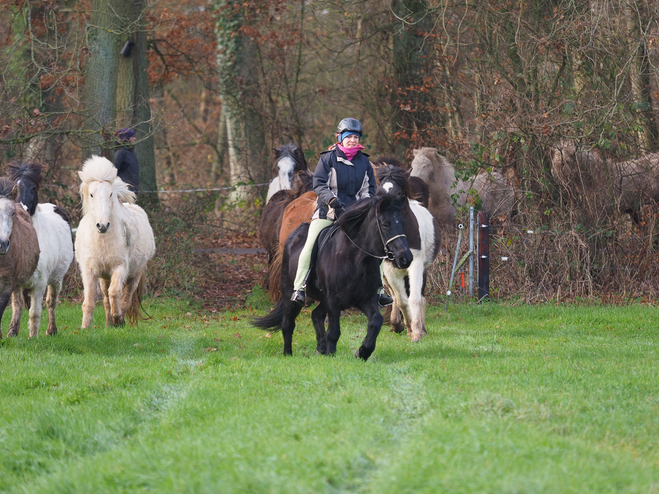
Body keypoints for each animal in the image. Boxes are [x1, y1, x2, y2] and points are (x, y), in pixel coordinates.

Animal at [6, 164, 74, 338]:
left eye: (33, 188)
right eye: (14, 187)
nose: (22, 209)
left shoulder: (40, 284)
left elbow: (34, 312)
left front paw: (33, 337)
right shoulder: (15, 283)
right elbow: (17, 306)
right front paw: (12, 333)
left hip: (57, 280)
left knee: (51, 303)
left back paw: (51, 331)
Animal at [76, 156, 156, 328]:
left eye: (110, 193)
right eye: (91, 194)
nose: (102, 225)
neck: (103, 241)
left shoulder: (120, 267)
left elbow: (115, 293)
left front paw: (118, 318)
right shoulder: (89, 270)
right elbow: (89, 301)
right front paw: (85, 328)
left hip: (134, 275)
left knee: (125, 298)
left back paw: (119, 321)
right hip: (104, 277)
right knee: (106, 300)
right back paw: (108, 325)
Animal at [253, 166, 412, 358]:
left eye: (402, 221)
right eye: (385, 224)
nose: (405, 258)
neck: (355, 260)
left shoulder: (366, 299)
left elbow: (376, 321)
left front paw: (362, 352)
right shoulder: (334, 301)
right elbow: (334, 331)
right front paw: (332, 353)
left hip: (322, 299)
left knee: (315, 315)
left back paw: (320, 347)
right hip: (290, 293)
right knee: (288, 324)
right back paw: (288, 354)